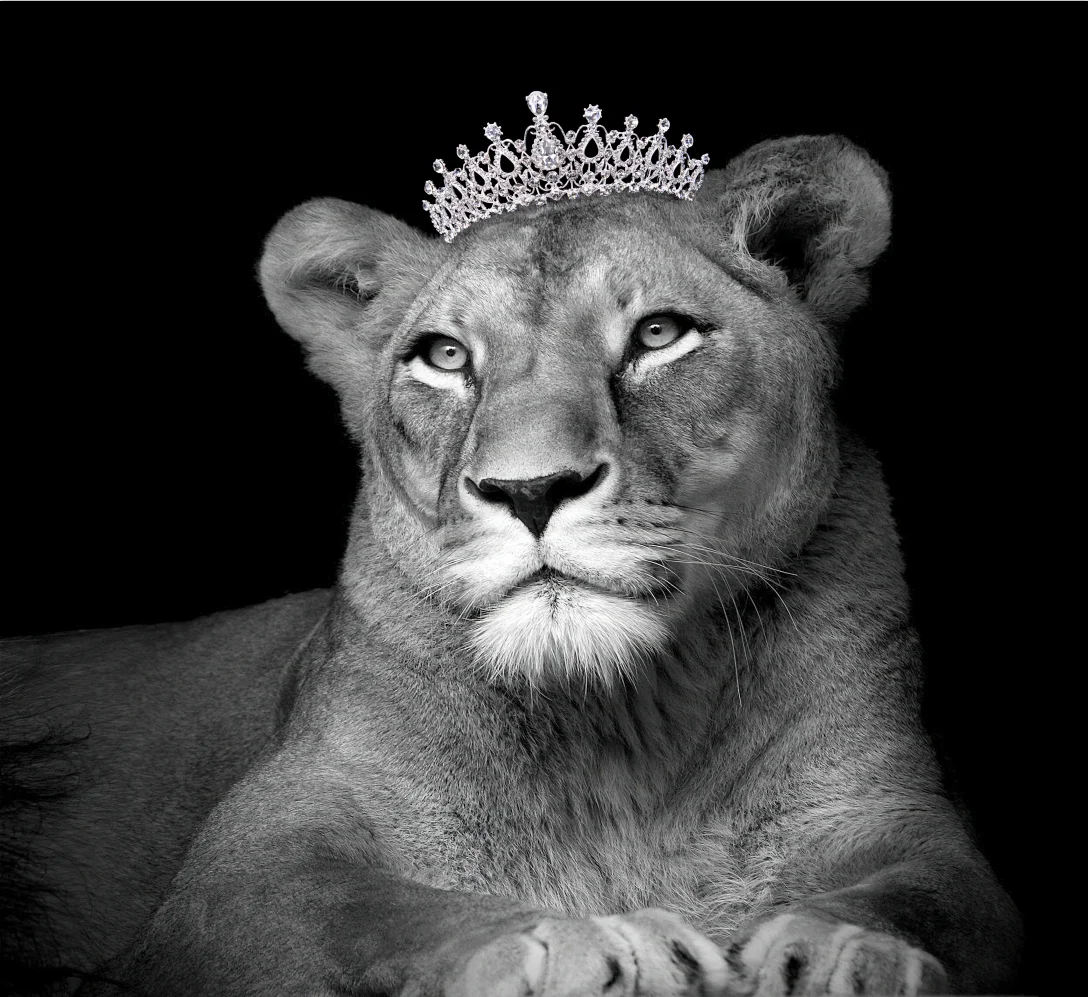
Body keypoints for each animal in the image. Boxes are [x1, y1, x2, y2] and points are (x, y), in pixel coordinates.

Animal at [1, 133, 1022, 996]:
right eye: (446, 356)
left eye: (659, 335)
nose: (530, 490)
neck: (623, 724)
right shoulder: (246, 861)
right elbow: (380, 909)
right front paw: (591, 943)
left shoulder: (901, 816)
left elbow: (936, 901)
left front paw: (843, 950)